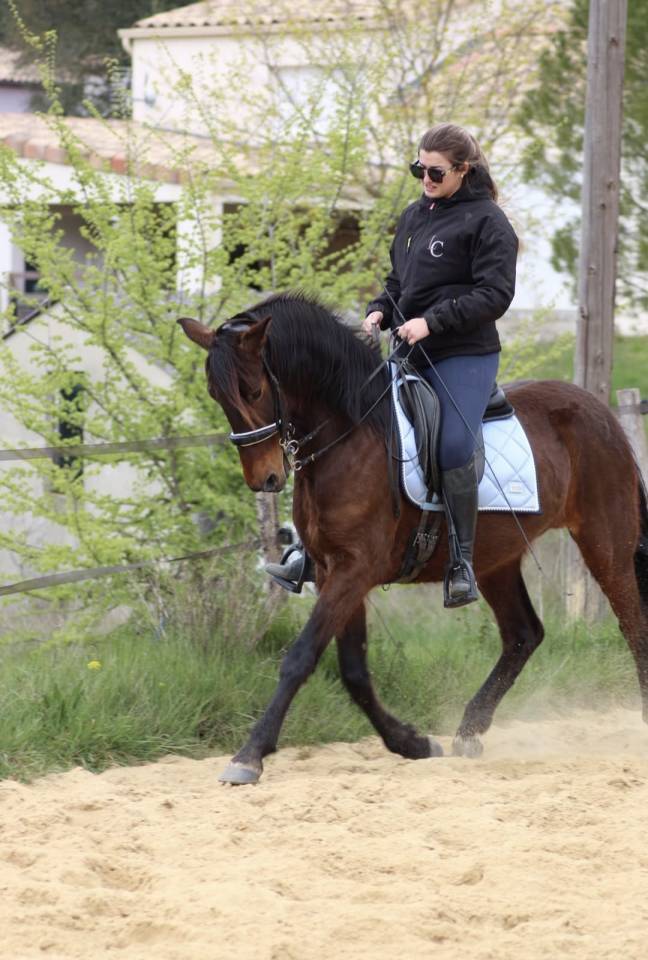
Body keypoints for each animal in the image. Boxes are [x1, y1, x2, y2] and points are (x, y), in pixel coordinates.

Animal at [179, 292, 648, 785]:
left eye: (253, 391)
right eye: (216, 396)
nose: (264, 479)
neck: (350, 434)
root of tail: (599, 410)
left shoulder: (355, 569)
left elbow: (301, 657)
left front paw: (249, 756)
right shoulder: (331, 571)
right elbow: (354, 670)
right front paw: (412, 743)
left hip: (605, 543)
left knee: (632, 623)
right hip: (494, 561)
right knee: (524, 634)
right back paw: (469, 730)